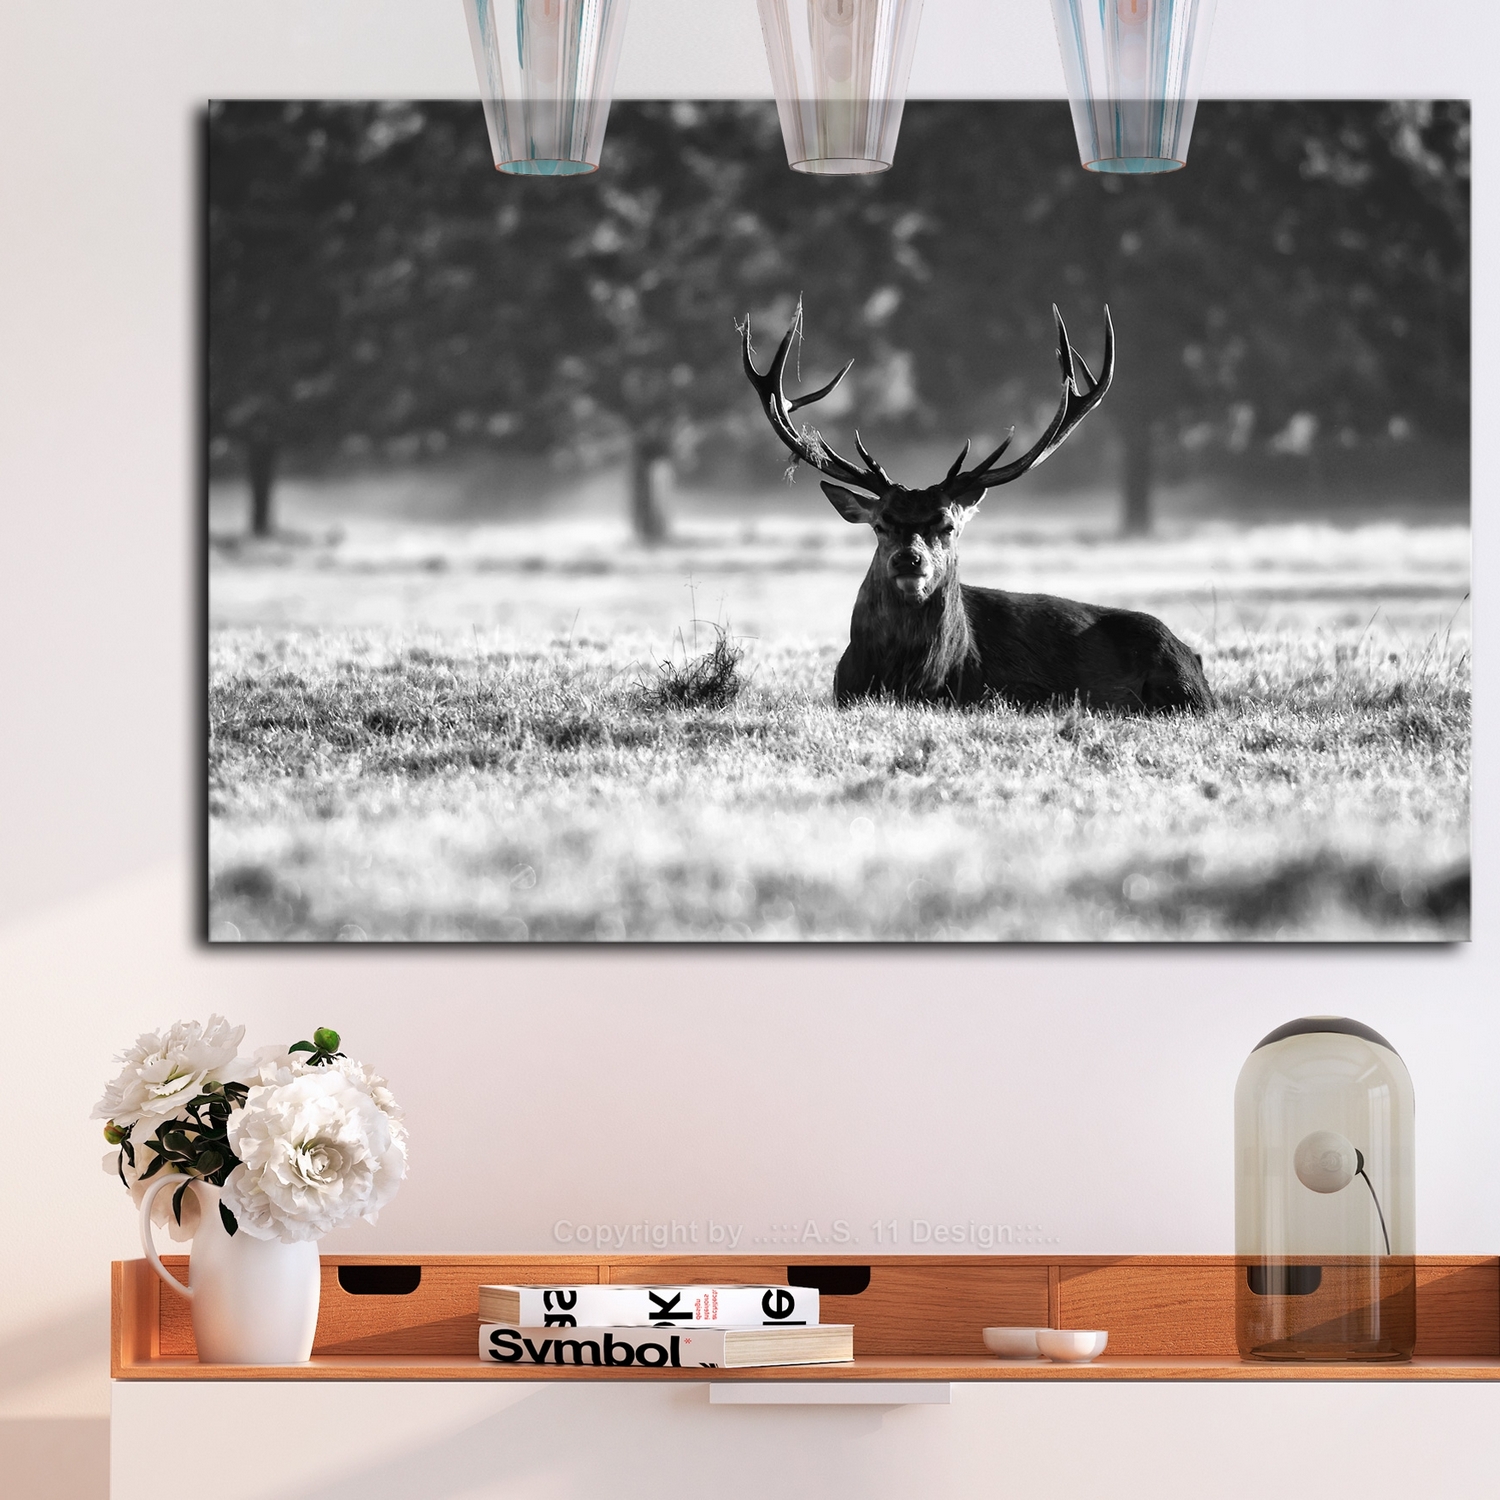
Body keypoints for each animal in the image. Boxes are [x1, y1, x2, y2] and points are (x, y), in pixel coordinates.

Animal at [740, 303, 1213, 713]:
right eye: (880, 523)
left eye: (948, 525)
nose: (909, 560)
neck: (918, 681)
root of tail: (1194, 657)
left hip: (1179, 685)